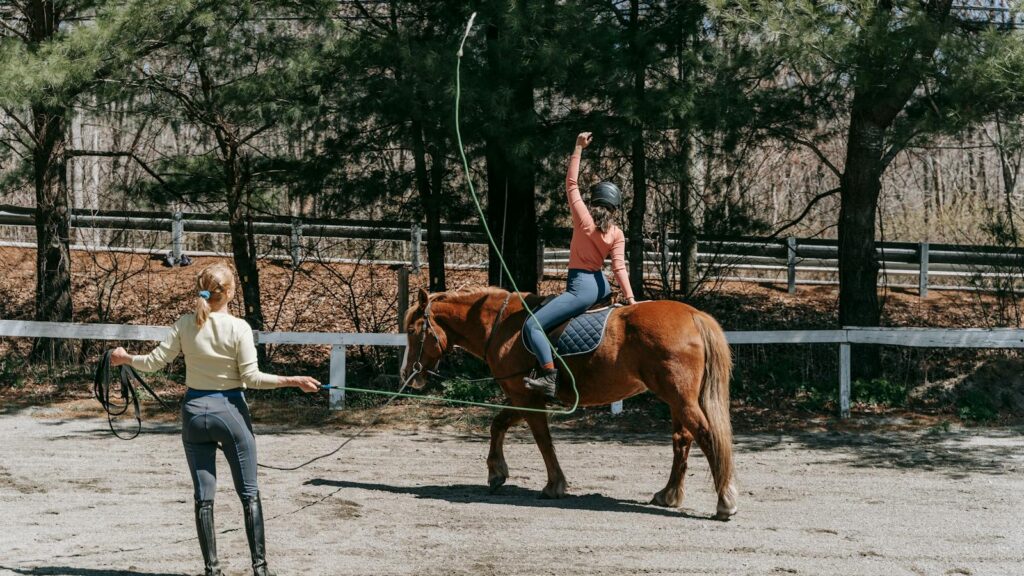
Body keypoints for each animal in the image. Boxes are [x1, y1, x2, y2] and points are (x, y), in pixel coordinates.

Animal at [400, 286, 738, 519]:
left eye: (413, 331)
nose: (407, 374)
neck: (503, 326)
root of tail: (694, 315)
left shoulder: (527, 397)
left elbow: (542, 440)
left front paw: (554, 485)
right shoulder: (521, 396)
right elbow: (498, 424)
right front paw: (496, 473)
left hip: (679, 398)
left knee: (705, 435)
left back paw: (724, 502)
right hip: (677, 400)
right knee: (682, 439)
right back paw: (669, 494)